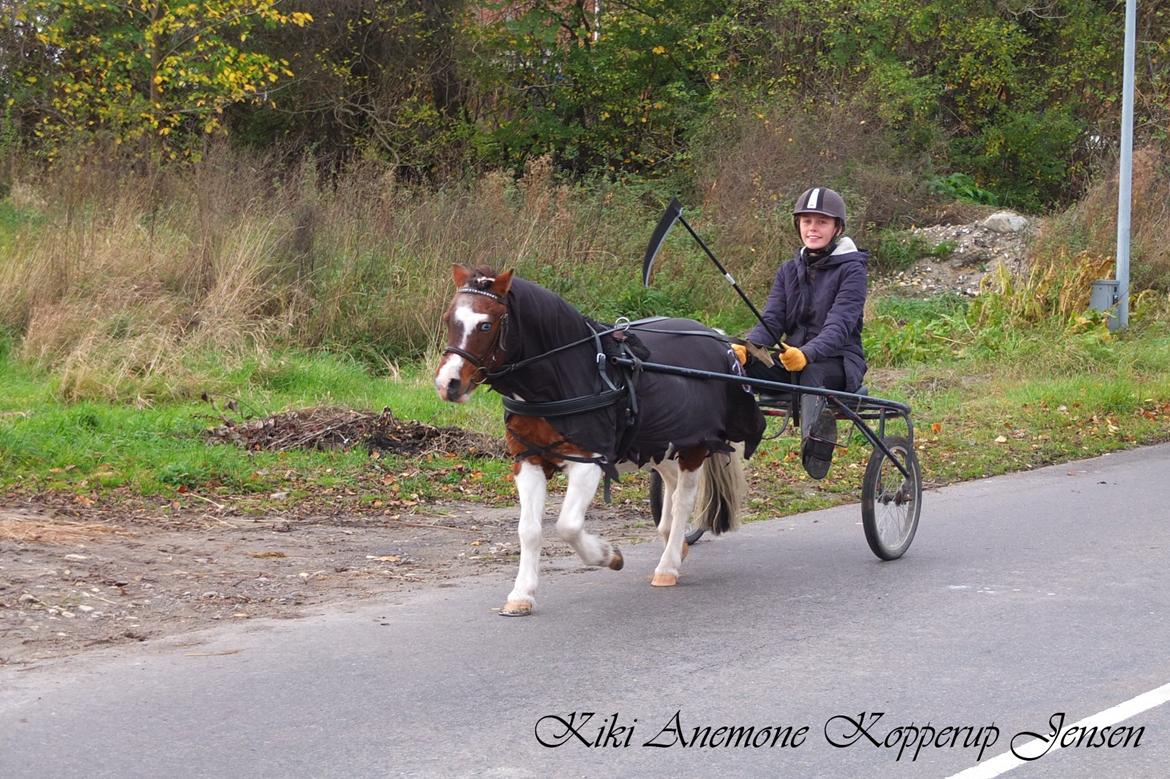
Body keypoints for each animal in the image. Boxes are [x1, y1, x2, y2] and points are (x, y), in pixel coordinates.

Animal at [435, 264, 762, 617]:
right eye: (449, 318)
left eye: (485, 324)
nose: (447, 383)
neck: (565, 375)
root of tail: (717, 339)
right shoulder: (528, 460)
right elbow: (529, 530)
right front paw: (522, 594)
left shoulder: (588, 461)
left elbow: (567, 525)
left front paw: (607, 556)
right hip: (659, 446)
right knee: (671, 490)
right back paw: (673, 545)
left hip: (693, 447)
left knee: (683, 500)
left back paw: (668, 565)